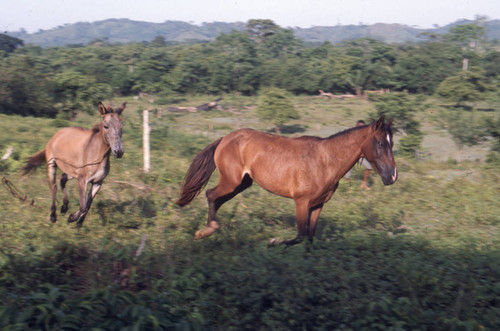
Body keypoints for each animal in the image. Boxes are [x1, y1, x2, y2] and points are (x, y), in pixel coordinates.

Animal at [178, 116, 396, 246]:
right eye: (380, 143)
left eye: (391, 142)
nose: (392, 176)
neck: (325, 161)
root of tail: (224, 139)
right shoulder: (301, 202)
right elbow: (298, 237)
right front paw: (273, 242)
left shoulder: (318, 205)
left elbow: (309, 238)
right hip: (231, 181)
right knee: (210, 195)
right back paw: (205, 231)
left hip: (241, 184)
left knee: (216, 199)